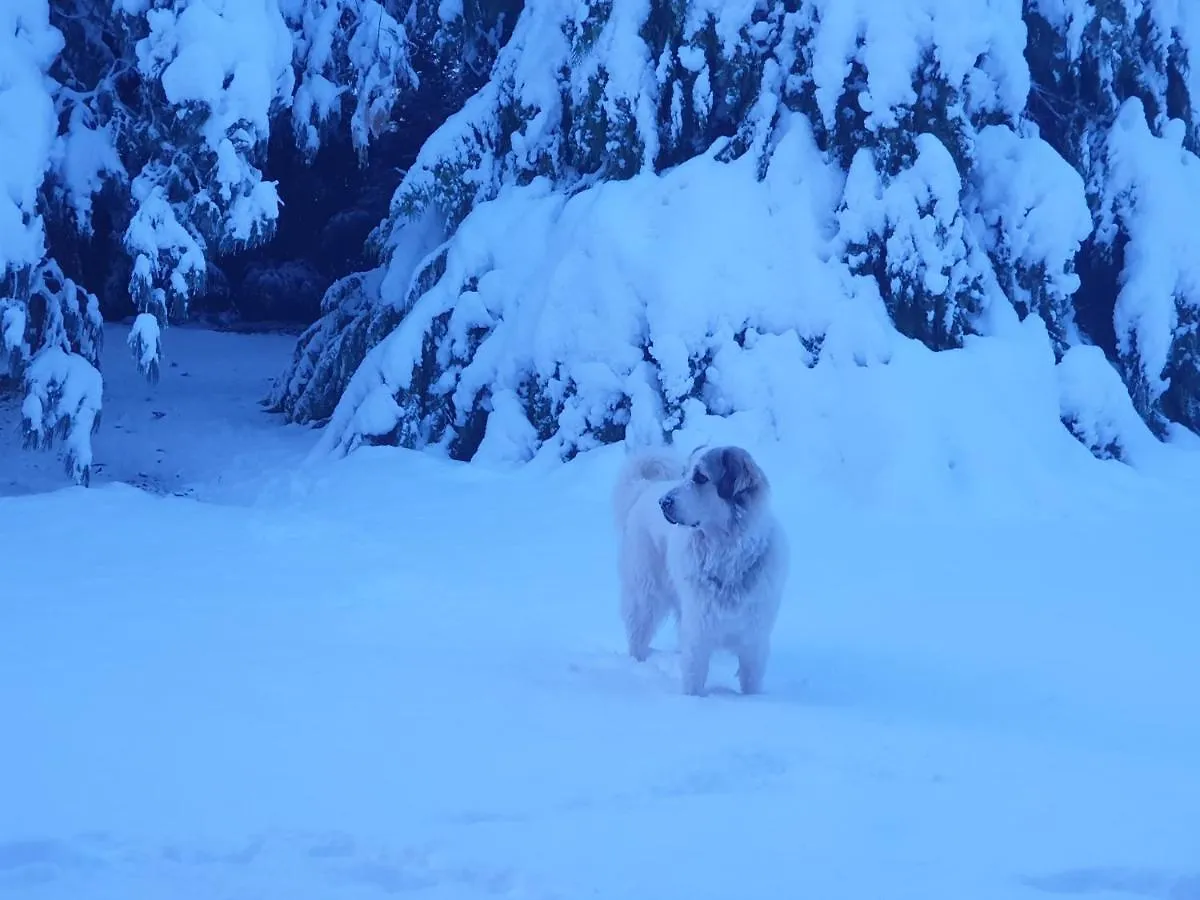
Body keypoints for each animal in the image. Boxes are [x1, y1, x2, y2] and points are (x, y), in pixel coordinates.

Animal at [614, 446, 792, 696]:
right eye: (684, 473)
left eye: (700, 477)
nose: (663, 502)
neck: (728, 559)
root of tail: (646, 489)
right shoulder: (698, 632)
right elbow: (693, 677)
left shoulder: (754, 639)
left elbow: (751, 683)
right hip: (645, 595)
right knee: (637, 636)